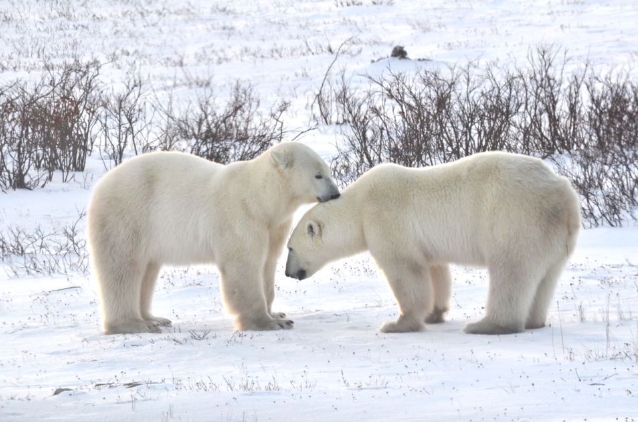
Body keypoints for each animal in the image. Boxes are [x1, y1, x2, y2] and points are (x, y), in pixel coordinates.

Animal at [88, 143, 342, 334]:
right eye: (318, 175)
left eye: (329, 172)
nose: (336, 194)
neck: (260, 198)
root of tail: (101, 184)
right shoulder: (241, 218)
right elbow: (244, 267)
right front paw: (269, 323)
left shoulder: (272, 226)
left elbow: (267, 264)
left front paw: (277, 313)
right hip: (128, 216)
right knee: (123, 269)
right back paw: (134, 324)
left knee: (147, 271)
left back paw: (154, 318)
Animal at [288, 152, 584, 336]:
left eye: (290, 248)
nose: (288, 273)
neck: (359, 205)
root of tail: (564, 195)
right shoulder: (424, 242)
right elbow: (435, 270)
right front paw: (434, 313)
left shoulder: (385, 218)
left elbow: (405, 270)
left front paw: (397, 324)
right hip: (554, 236)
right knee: (545, 277)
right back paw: (534, 321)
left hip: (515, 218)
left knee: (511, 271)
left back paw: (487, 325)